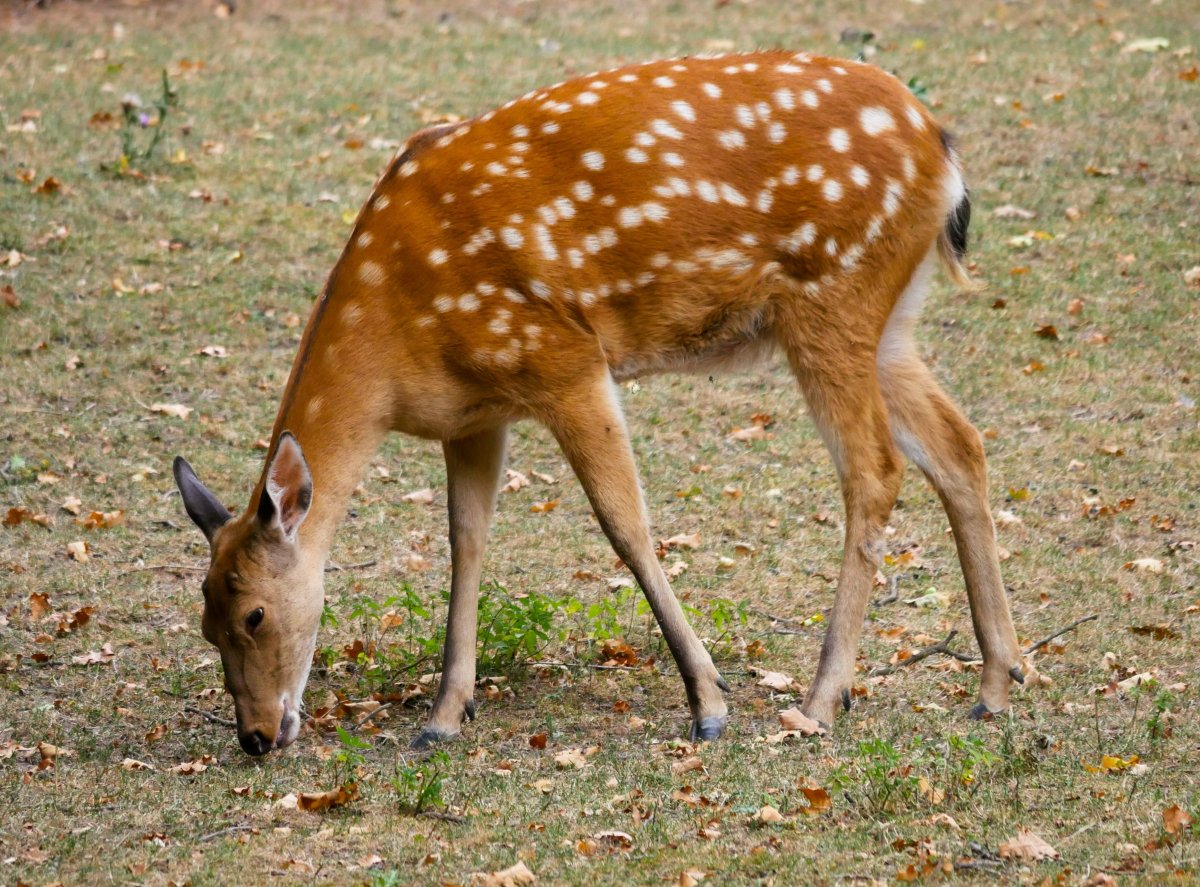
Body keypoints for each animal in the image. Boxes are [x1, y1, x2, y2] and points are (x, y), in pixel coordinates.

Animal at [174, 48, 1027, 758]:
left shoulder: (564, 357)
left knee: (874, 469)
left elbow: (626, 525)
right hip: (889, 317)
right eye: (205, 620)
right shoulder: (476, 412)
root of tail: (943, 150)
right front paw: (445, 714)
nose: (256, 735)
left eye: (253, 613)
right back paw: (996, 682)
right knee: (961, 444)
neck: (395, 349)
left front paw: (709, 703)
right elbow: (466, 542)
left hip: (833, 295)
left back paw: (822, 698)